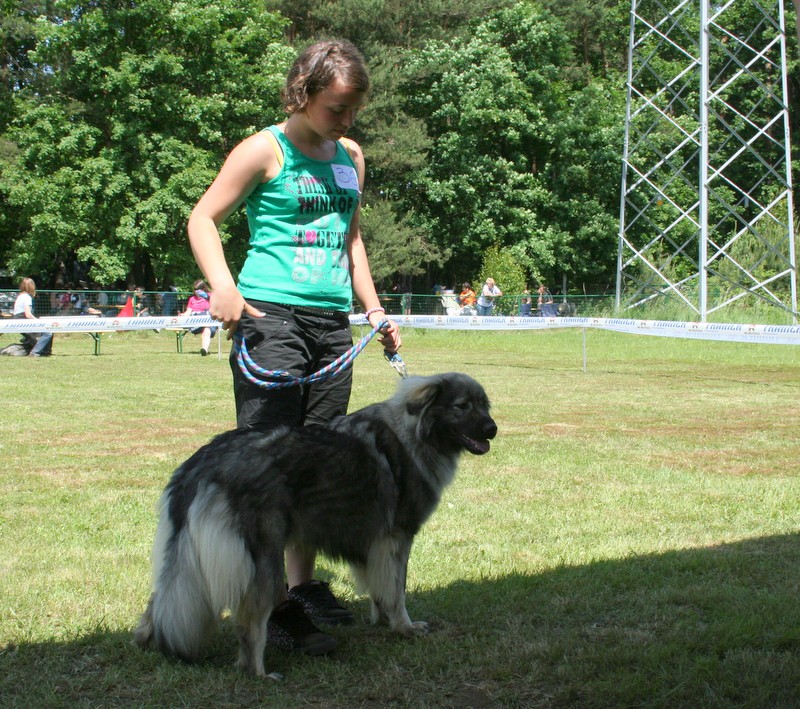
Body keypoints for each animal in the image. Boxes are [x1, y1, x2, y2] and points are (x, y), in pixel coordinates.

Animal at [134, 370, 496, 676]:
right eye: (462, 407)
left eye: (484, 405)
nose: (493, 429)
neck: (415, 432)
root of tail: (199, 464)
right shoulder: (396, 538)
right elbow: (397, 589)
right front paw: (404, 627)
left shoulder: (373, 543)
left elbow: (379, 589)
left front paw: (381, 620)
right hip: (262, 560)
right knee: (250, 622)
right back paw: (259, 673)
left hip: (188, 561)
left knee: (162, 601)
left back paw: (153, 642)